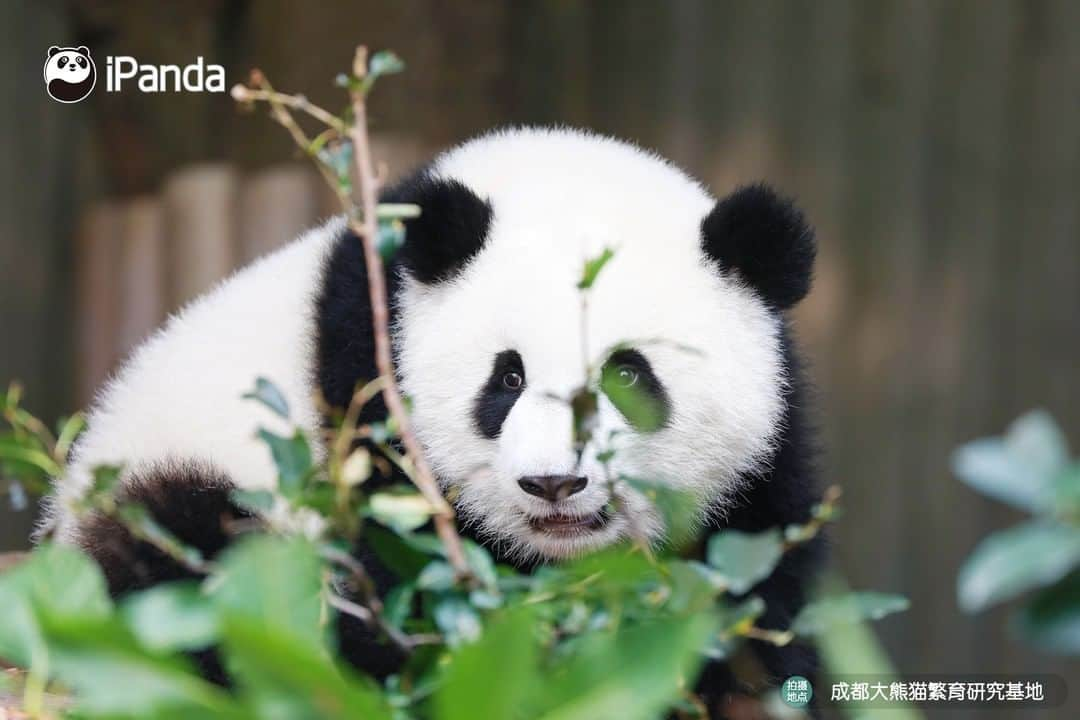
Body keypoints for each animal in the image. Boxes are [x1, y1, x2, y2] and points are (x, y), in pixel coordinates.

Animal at [39, 126, 816, 708]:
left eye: (626, 374)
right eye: (508, 377)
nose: (554, 485)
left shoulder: (763, 470)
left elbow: (757, 593)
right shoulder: (367, 386)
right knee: (188, 557)